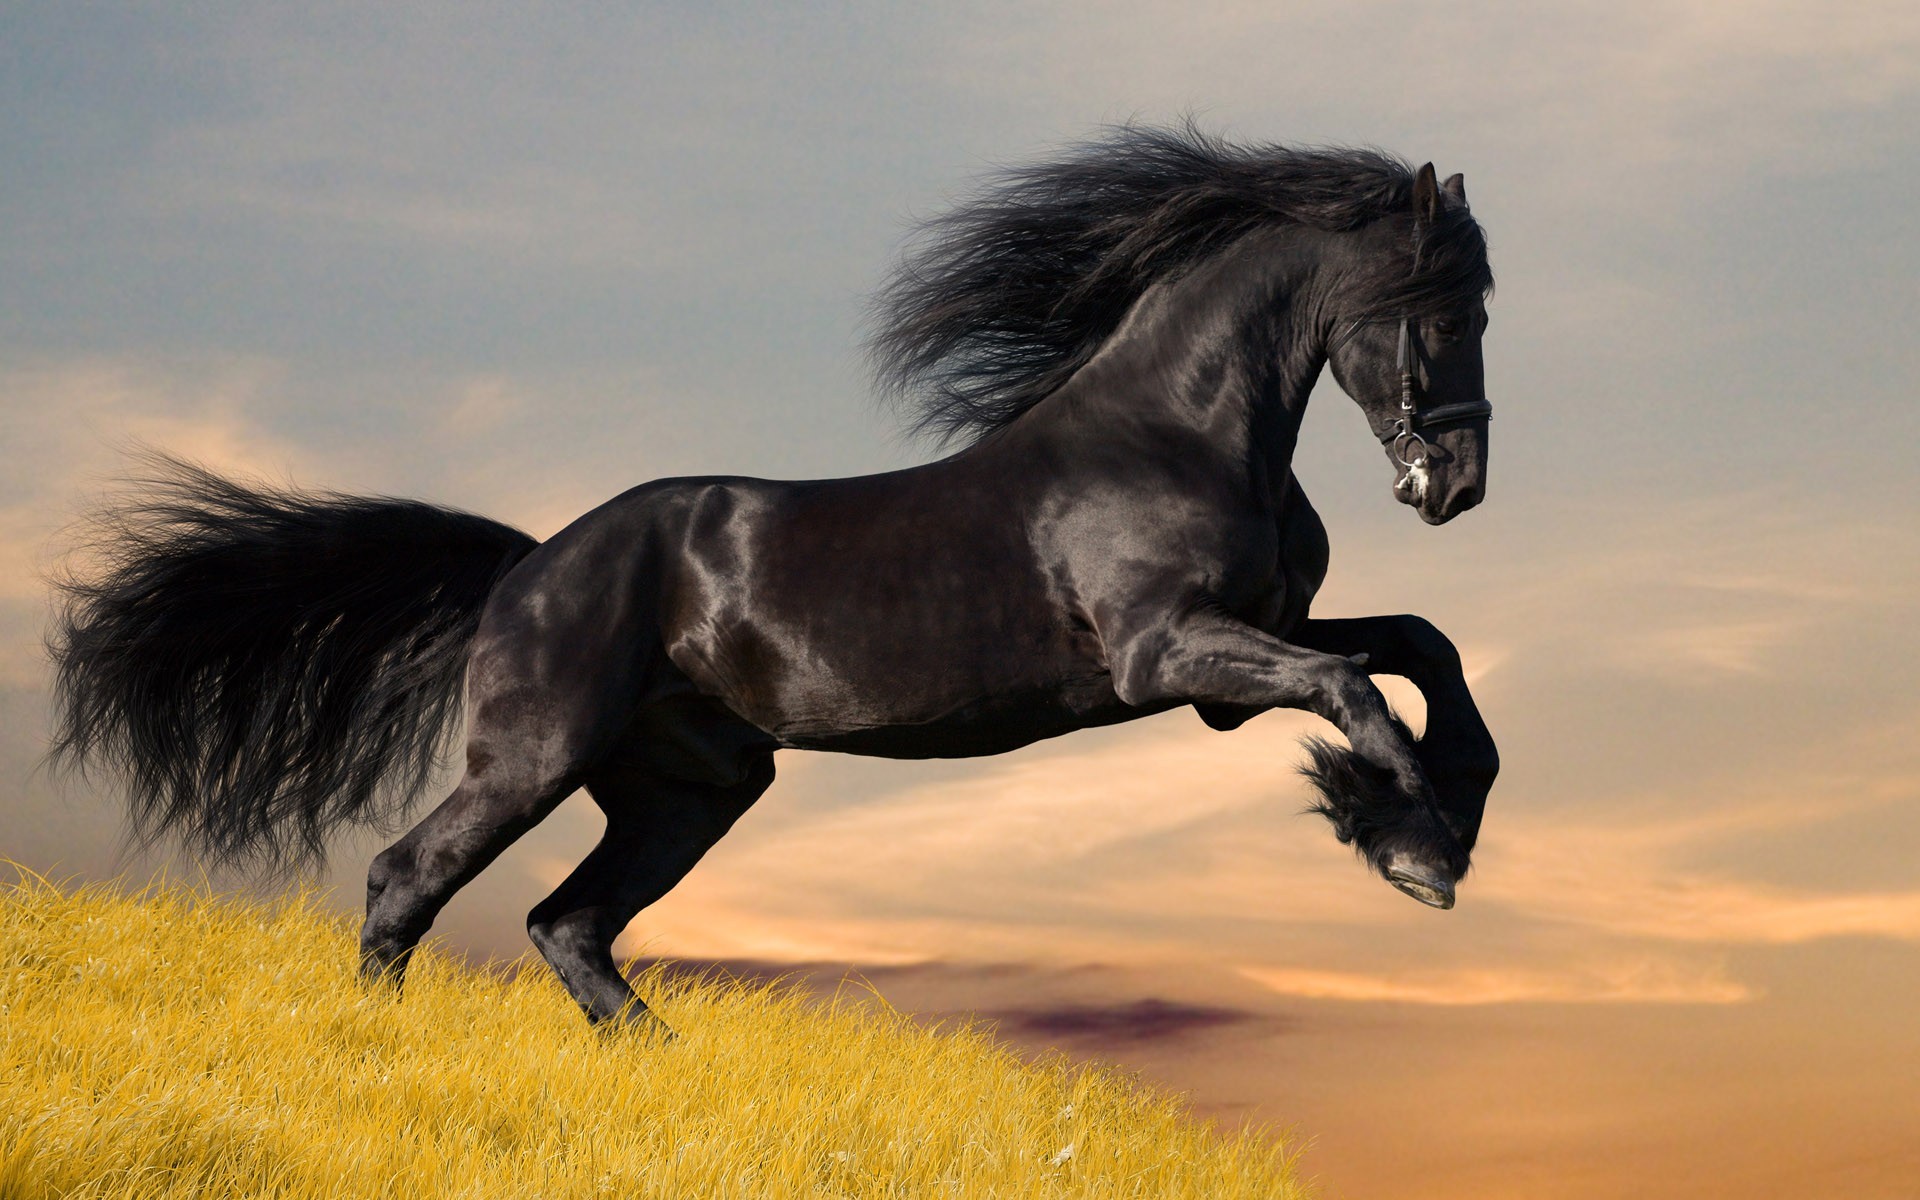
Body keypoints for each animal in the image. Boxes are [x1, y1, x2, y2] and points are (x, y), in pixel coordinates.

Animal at [49, 123, 1499, 1034]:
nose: (1458, 486)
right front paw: (1411, 847)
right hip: (535, 756)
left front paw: (1432, 819)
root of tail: (529, 564)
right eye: (1441, 308)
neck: (1177, 431)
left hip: (690, 788)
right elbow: (1356, 691)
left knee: (569, 924)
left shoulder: (1242, 653)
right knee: (410, 879)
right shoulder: (1170, 658)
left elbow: (1419, 647)